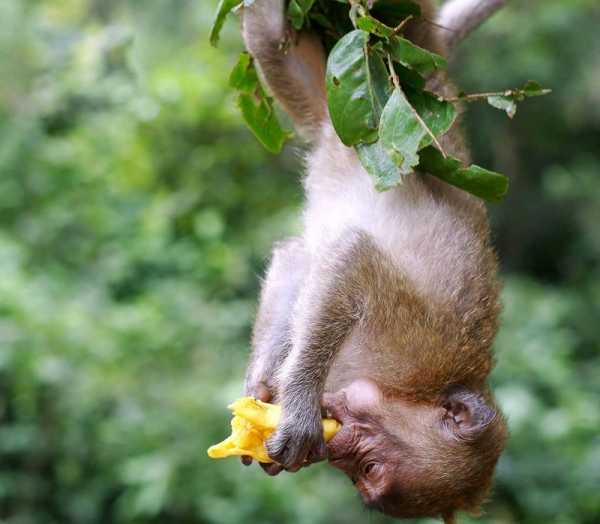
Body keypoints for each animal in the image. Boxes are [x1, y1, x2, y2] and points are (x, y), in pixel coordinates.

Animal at [239, 1, 506, 520]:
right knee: (274, 33)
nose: (337, 453)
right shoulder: (415, 344)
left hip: (335, 106)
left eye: (365, 474)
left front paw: (263, 390)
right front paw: (299, 408)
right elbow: (351, 258)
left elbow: (304, 258)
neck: (407, 388)